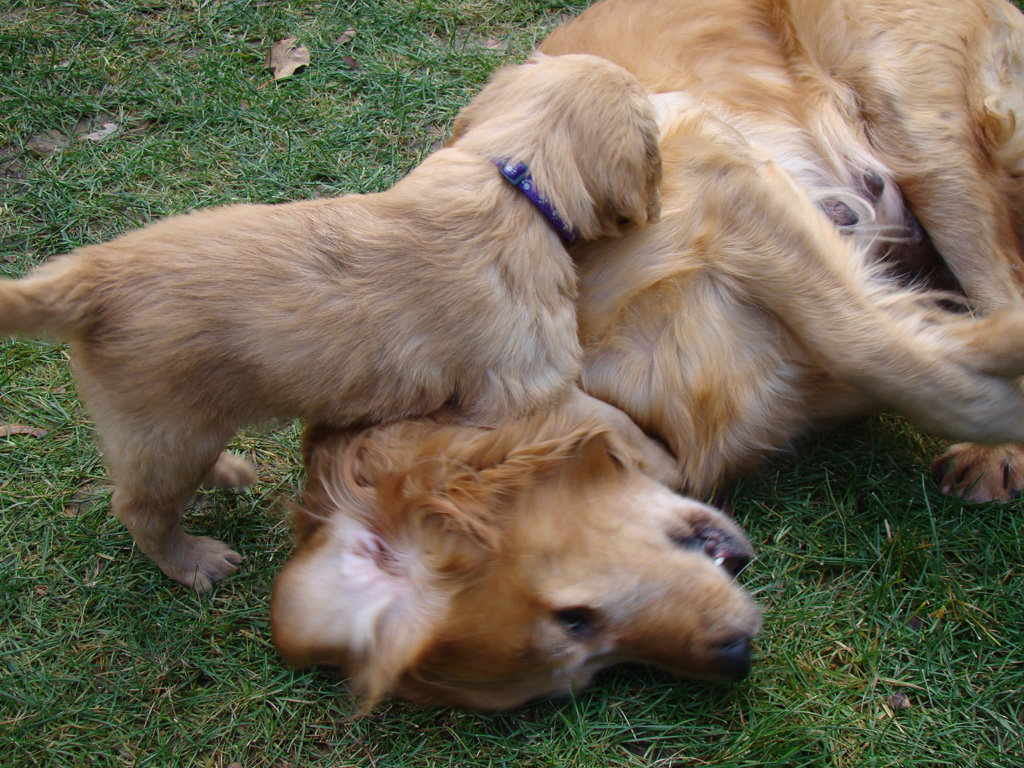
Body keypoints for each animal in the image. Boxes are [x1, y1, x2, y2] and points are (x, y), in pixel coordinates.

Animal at [0, 54, 659, 593]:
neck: (514, 180)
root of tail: (92, 275)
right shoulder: (526, 385)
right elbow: (608, 419)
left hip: (184, 424)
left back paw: (229, 472)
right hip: (165, 428)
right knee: (139, 508)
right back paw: (195, 560)